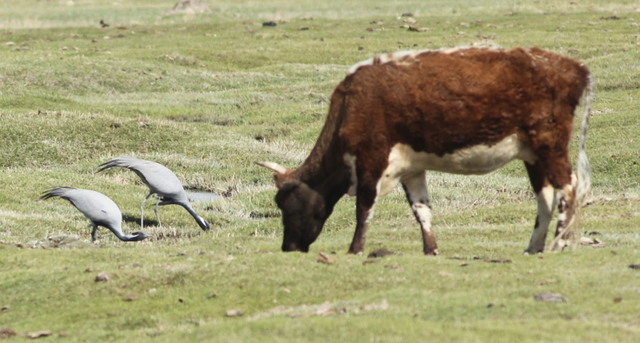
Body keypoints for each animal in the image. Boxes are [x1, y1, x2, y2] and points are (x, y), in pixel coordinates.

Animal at [258, 46, 596, 255]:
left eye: (284, 204)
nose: (289, 248)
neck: (349, 105)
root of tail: (573, 67)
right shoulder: (411, 168)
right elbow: (422, 209)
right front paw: (430, 249)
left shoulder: (371, 160)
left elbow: (363, 209)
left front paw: (355, 250)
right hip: (533, 154)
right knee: (545, 196)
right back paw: (533, 248)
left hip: (550, 145)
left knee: (568, 188)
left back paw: (558, 244)